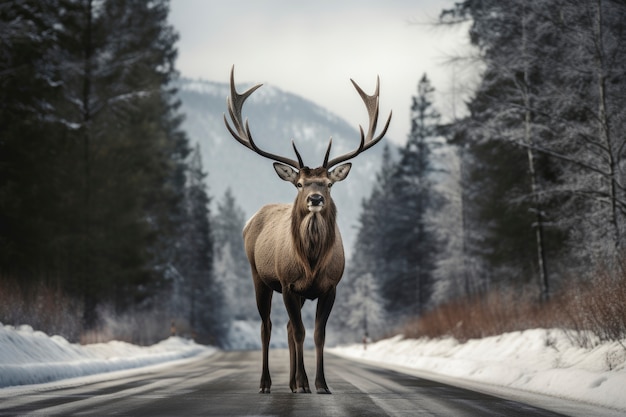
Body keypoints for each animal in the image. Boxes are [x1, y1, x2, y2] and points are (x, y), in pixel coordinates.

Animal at [223, 66, 390, 394]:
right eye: (299, 183)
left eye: (328, 184)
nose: (315, 198)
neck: (311, 262)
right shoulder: (288, 284)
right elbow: (300, 332)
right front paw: (303, 383)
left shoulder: (330, 287)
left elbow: (316, 334)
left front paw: (320, 384)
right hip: (258, 276)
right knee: (267, 327)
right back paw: (267, 383)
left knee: (288, 327)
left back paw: (291, 382)